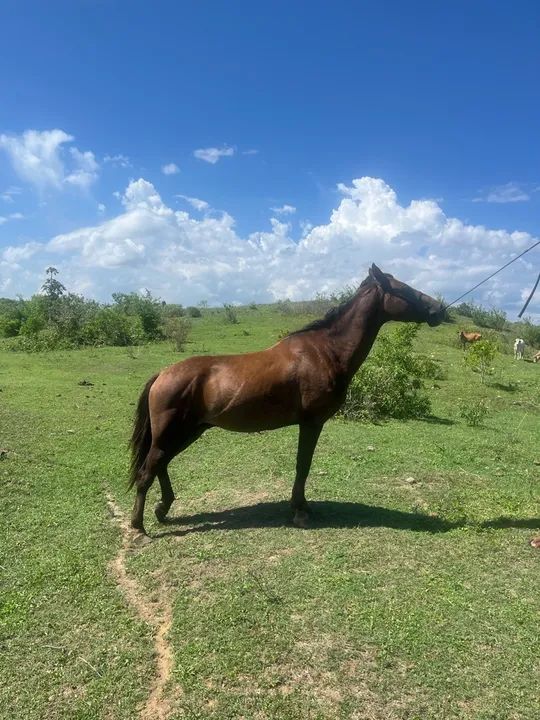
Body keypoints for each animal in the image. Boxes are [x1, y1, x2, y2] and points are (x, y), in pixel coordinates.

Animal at [129, 264, 445, 534]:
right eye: (404, 289)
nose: (439, 309)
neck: (326, 350)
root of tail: (163, 374)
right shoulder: (311, 422)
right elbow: (303, 465)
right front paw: (300, 511)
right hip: (172, 432)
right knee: (149, 470)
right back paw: (138, 526)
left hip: (189, 431)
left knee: (160, 465)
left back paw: (163, 509)